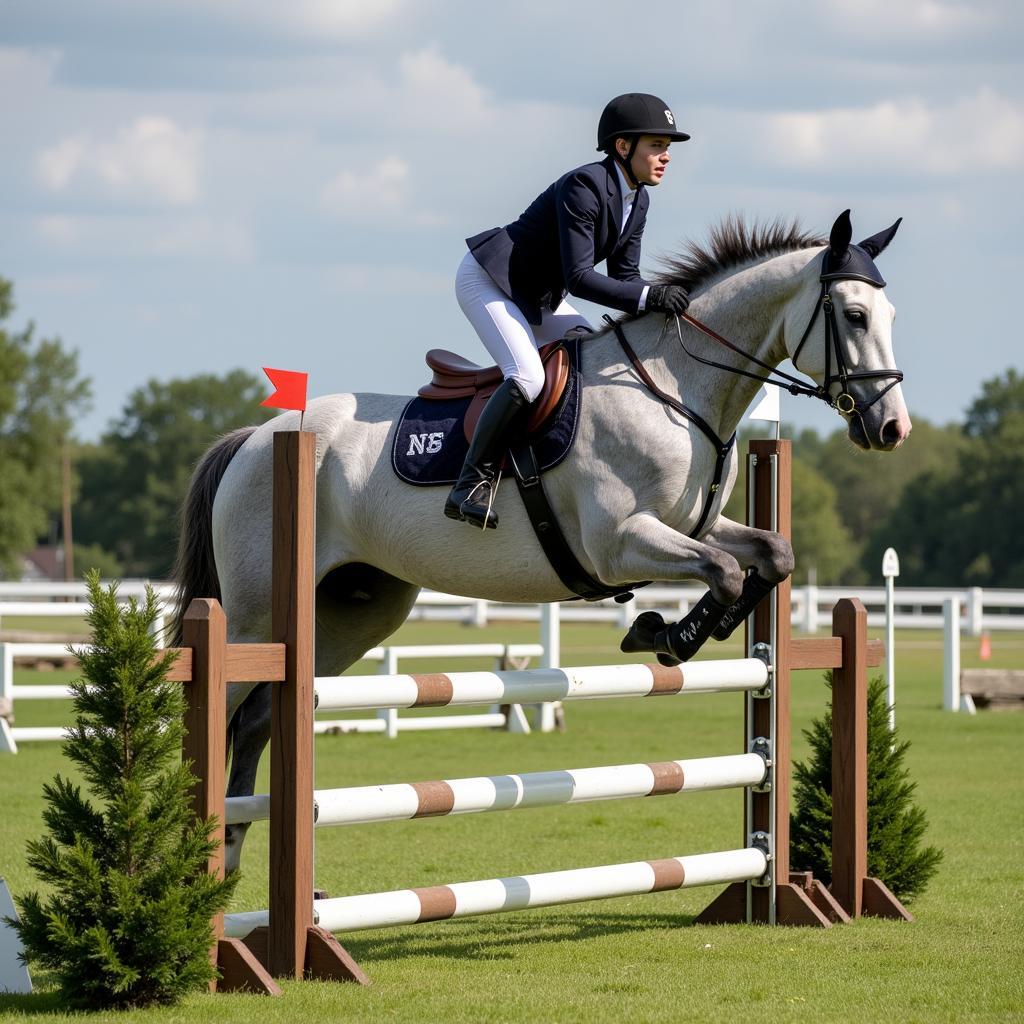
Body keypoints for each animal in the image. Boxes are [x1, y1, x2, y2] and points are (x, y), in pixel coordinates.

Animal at [174, 211, 913, 868]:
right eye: (853, 316)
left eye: (892, 317)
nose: (891, 429)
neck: (674, 390)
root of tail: (259, 436)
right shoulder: (619, 544)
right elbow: (724, 573)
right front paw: (661, 635)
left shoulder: (692, 527)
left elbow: (769, 556)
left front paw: (699, 629)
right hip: (254, 615)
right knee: (226, 706)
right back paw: (198, 862)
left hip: (349, 615)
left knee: (262, 717)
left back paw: (234, 854)